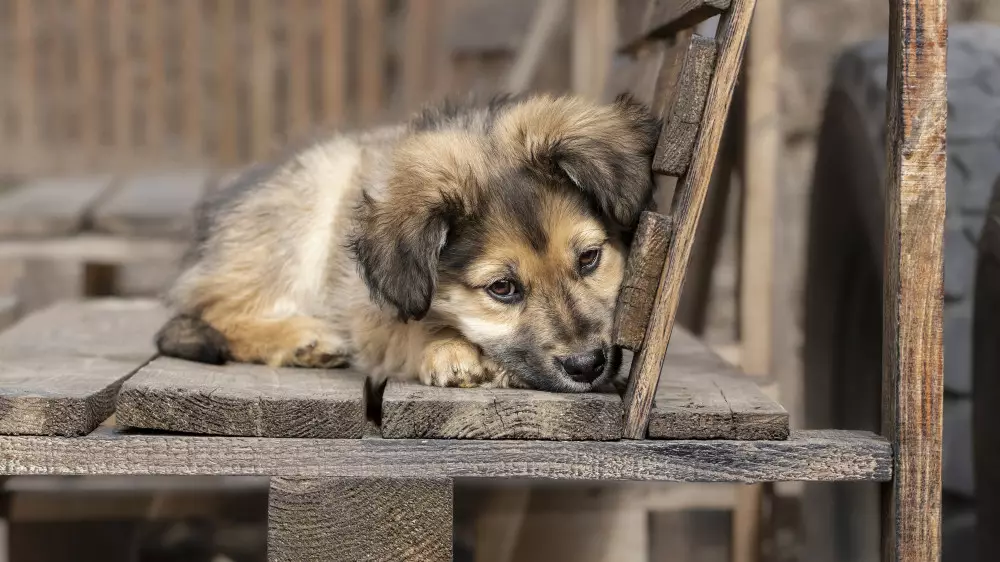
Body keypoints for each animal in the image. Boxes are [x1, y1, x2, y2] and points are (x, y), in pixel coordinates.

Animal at [156, 93, 664, 390]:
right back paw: (304, 338)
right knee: (213, 308)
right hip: (308, 200)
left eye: (590, 259)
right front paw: (448, 350)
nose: (586, 366)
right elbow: (409, 327)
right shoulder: (364, 305)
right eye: (502, 288)